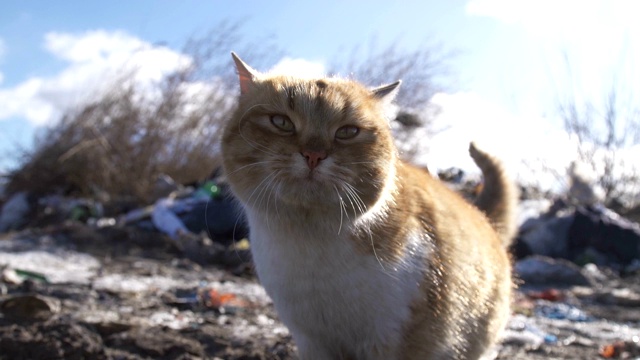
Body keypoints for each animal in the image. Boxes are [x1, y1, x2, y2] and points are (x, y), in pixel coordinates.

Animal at [222, 51, 516, 360]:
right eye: (281, 122)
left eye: (347, 132)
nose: (314, 154)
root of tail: (483, 216)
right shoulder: (311, 340)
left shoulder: (395, 341)